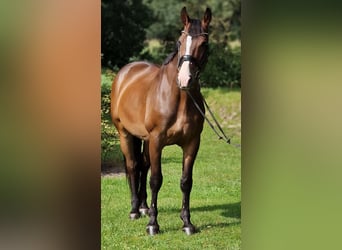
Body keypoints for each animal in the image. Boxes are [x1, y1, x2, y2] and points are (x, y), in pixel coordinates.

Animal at [110, 6, 211, 235]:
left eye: (204, 43)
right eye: (180, 42)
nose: (185, 79)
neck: (179, 98)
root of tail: (126, 72)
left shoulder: (192, 143)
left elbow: (186, 181)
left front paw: (187, 223)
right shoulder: (157, 141)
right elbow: (156, 180)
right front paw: (153, 225)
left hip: (145, 140)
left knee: (143, 165)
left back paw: (144, 207)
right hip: (125, 134)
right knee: (133, 166)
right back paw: (135, 210)